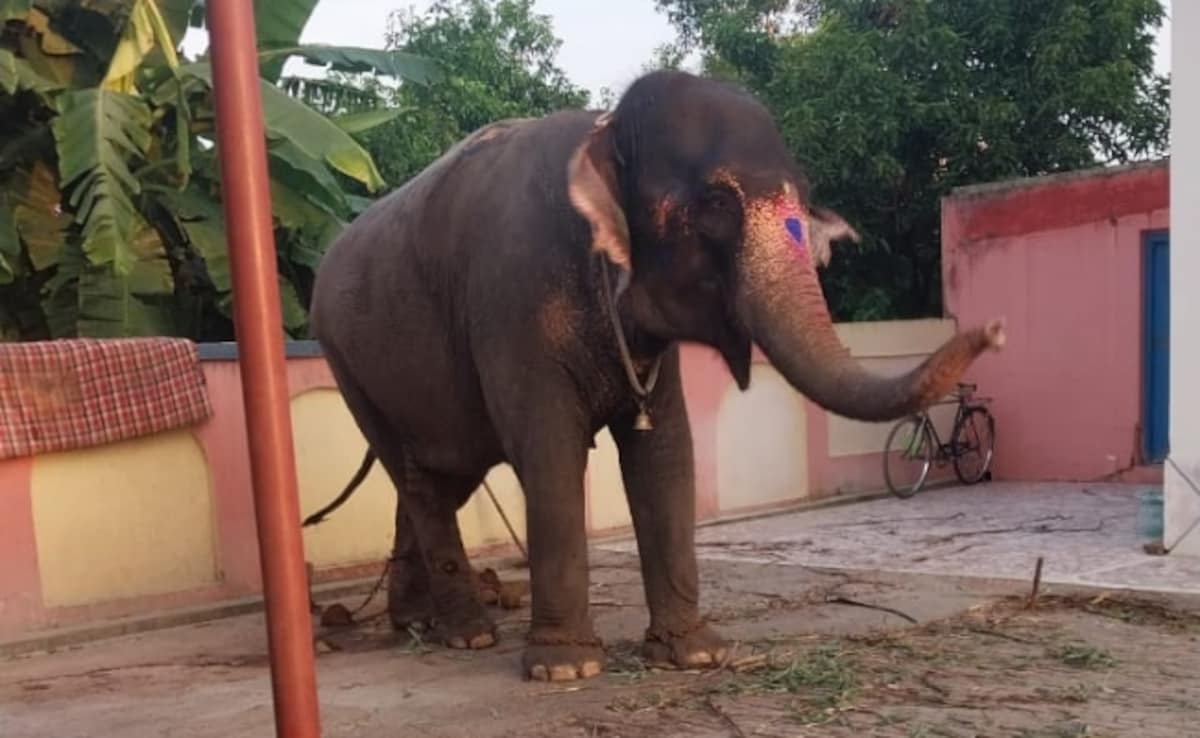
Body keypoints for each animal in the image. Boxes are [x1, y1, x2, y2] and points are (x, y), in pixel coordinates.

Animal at [307, 69, 1004, 682]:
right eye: (718, 203)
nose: (994, 330)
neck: (605, 130)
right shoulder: (512, 302)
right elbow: (549, 451)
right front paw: (566, 669)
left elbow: (666, 450)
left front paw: (695, 655)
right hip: (348, 362)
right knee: (424, 482)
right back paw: (467, 635)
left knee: (435, 479)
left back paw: (416, 624)